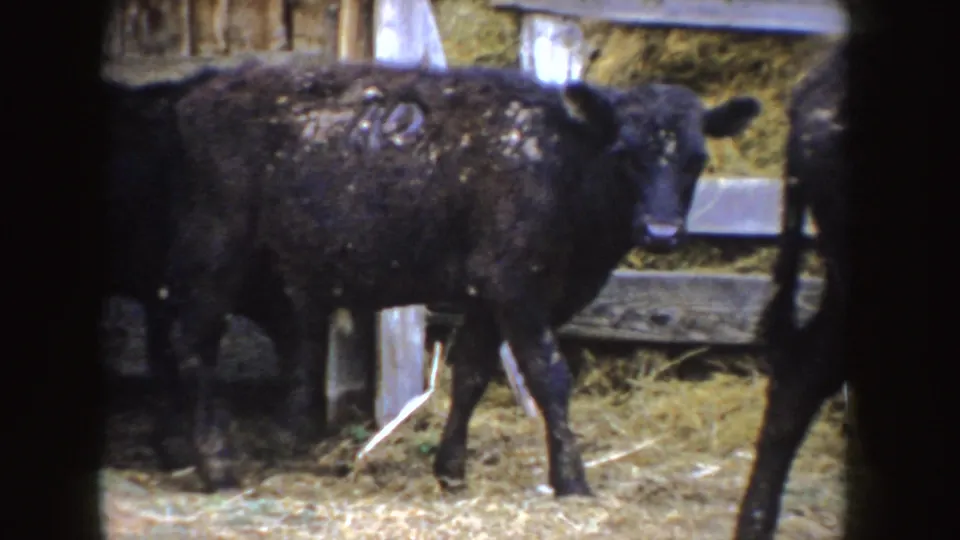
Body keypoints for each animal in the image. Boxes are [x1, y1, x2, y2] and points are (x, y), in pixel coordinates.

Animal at [164, 60, 762, 494]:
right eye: (625, 154)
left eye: (697, 160)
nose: (662, 232)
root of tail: (204, 88)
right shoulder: (519, 288)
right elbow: (549, 376)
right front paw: (570, 478)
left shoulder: (488, 291)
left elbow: (471, 373)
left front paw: (451, 469)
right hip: (216, 252)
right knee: (194, 345)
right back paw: (214, 464)